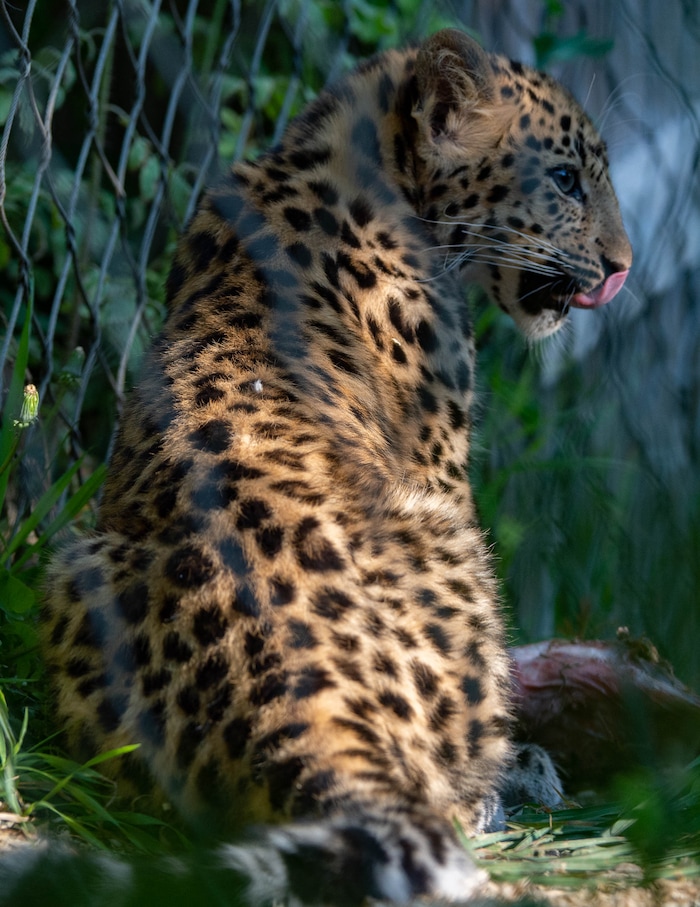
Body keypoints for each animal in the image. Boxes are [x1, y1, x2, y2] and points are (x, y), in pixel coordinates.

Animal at [17, 27, 632, 906]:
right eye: (564, 180)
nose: (621, 267)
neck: (350, 145)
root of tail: (299, 690)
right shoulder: (443, 464)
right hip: (458, 545)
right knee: (452, 796)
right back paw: (523, 777)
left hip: (71, 572)